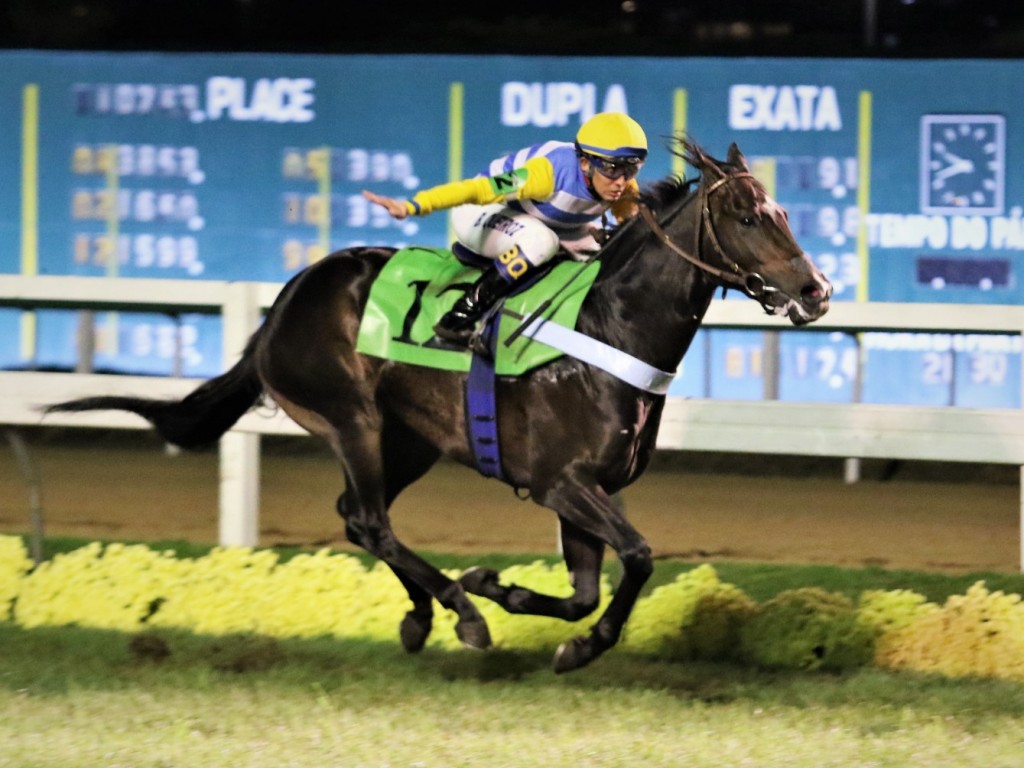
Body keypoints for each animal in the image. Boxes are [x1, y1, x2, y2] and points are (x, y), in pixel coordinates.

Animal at [44, 138, 835, 671]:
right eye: (745, 216)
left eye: (782, 210)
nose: (816, 290)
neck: (606, 327)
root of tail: (290, 295)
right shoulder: (560, 481)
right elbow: (638, 557)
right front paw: (566, 641)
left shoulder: (585, 486)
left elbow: (586, 589)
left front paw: (514, 596)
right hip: (350, 418)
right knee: (369, 518)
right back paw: (459, 613)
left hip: (410, 441)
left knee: (358, 518)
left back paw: (424, 614)